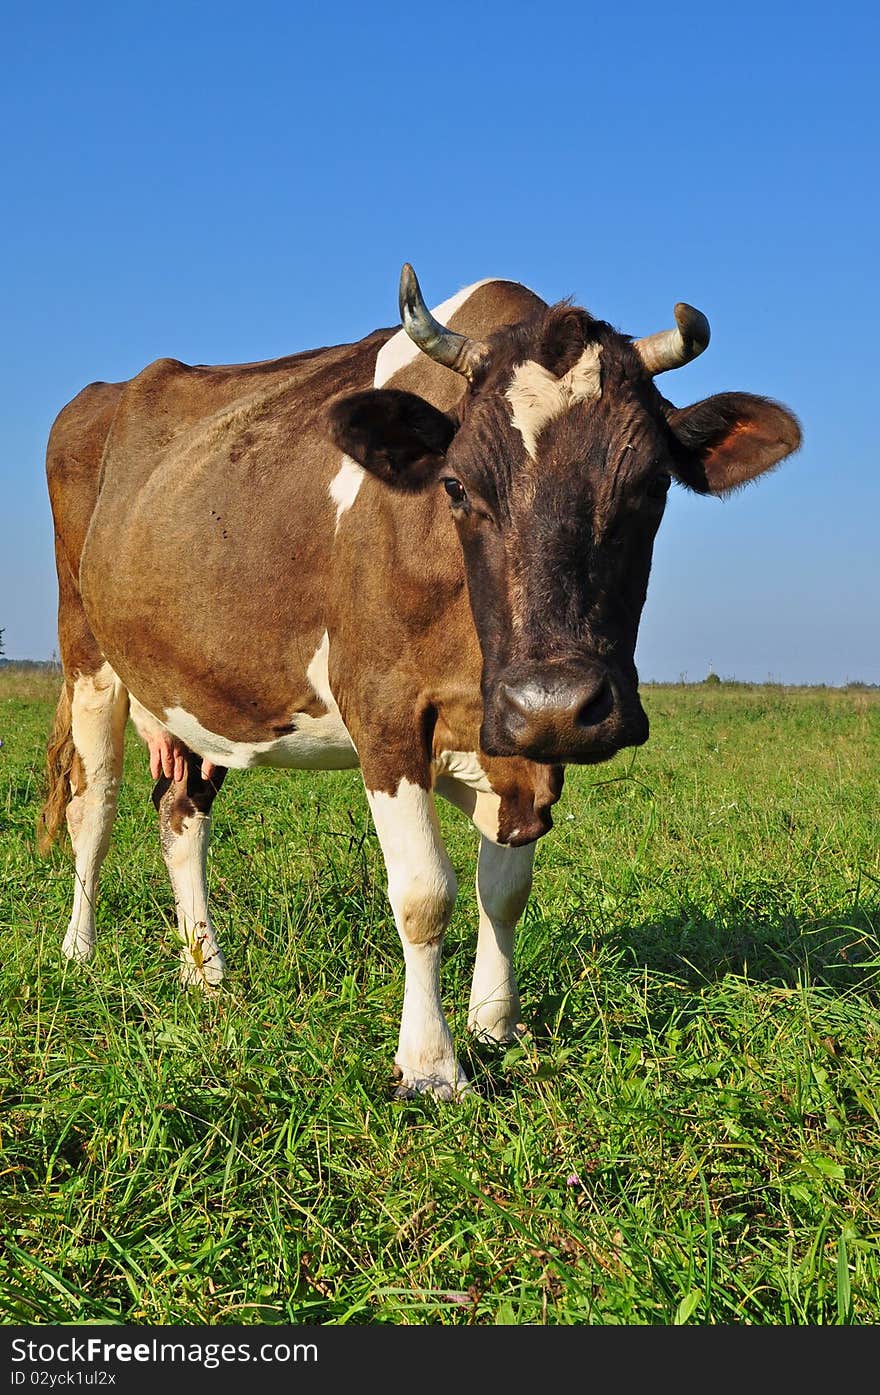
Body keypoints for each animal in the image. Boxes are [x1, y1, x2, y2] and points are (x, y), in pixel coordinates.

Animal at [37, 263, 803, 1099]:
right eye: (457, 485)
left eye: (654, 484)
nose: (560, 701)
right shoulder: (385, 710)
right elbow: (424, 892)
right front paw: (432, 1063)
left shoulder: (519, 736)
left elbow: (505, 885)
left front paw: (494, 1024)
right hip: (88, 654)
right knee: (93, 804)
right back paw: (79, 951)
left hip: (204, 689)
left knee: (181, 812)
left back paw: (205, 971)